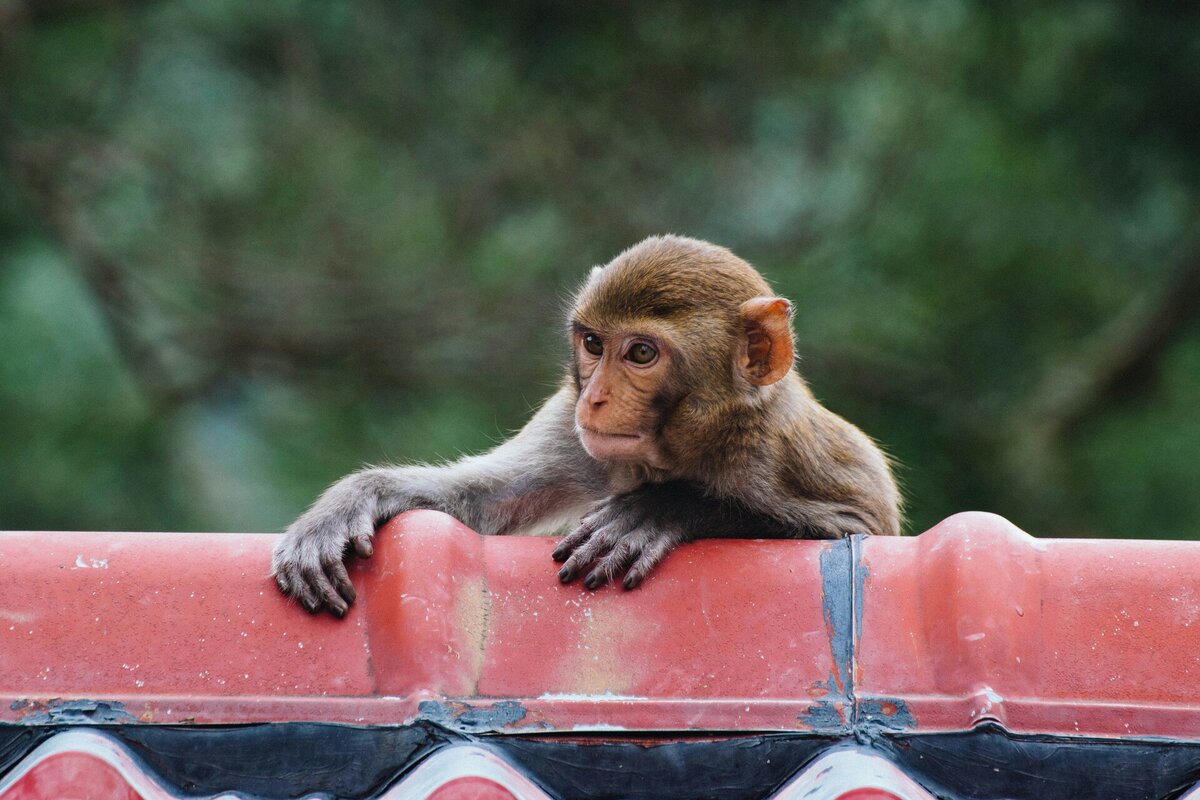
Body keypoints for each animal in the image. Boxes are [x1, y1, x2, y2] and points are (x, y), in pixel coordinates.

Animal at [272, 235, 902, 618]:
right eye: (594, 344)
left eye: (641, 353)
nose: (595, 399)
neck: (673, 451)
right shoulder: (567, 429)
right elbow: (480, 501)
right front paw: (349, 503)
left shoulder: (774, 450)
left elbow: (855, 532)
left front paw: (659, 510)